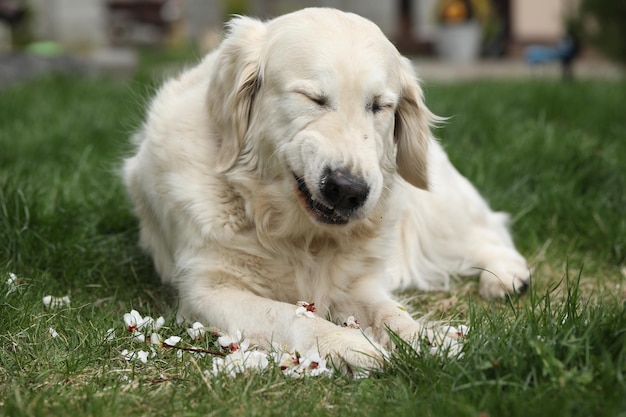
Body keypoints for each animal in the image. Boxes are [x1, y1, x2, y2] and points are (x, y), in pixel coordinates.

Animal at [124, 8, 528, 368]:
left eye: (379, 106)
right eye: (313, 98)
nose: (349, 189)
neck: (298, 234)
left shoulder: (357, 285)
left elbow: (391, 313)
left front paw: (426, 340)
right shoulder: (207, 289)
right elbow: (289, 315)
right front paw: (348, 344)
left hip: (438, 205)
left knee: (491, 232)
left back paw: (507, 277)